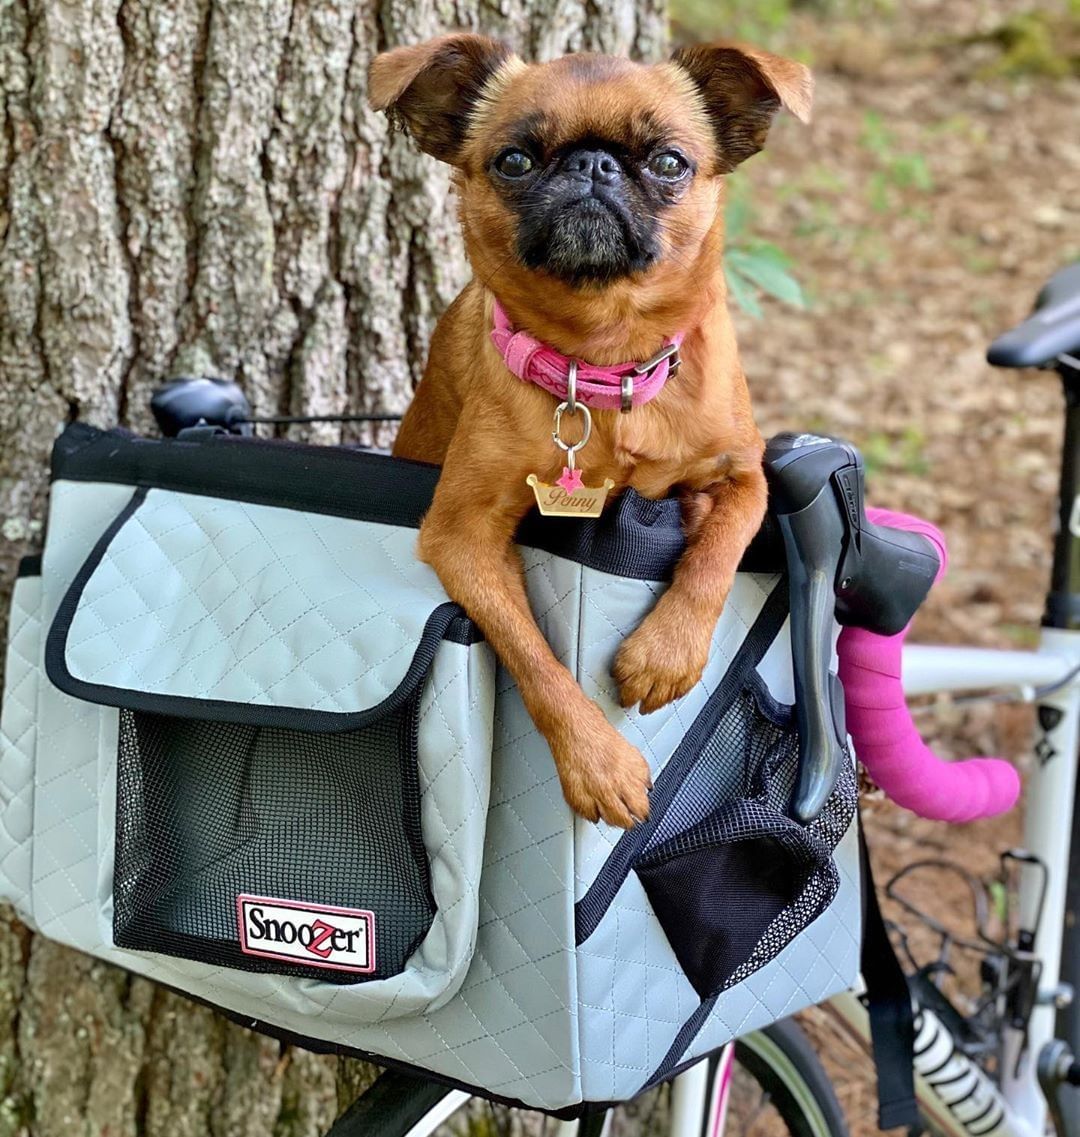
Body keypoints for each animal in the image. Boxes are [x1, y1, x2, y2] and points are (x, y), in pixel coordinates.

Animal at [368, 33, 809, 827]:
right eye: (514, 160)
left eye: (670, 162)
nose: (591, 164)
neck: (605, 367)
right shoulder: (460, 535)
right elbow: (532, 654)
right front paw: (595, 760)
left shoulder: (745, 471)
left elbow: (719, 550)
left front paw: (665, 653)